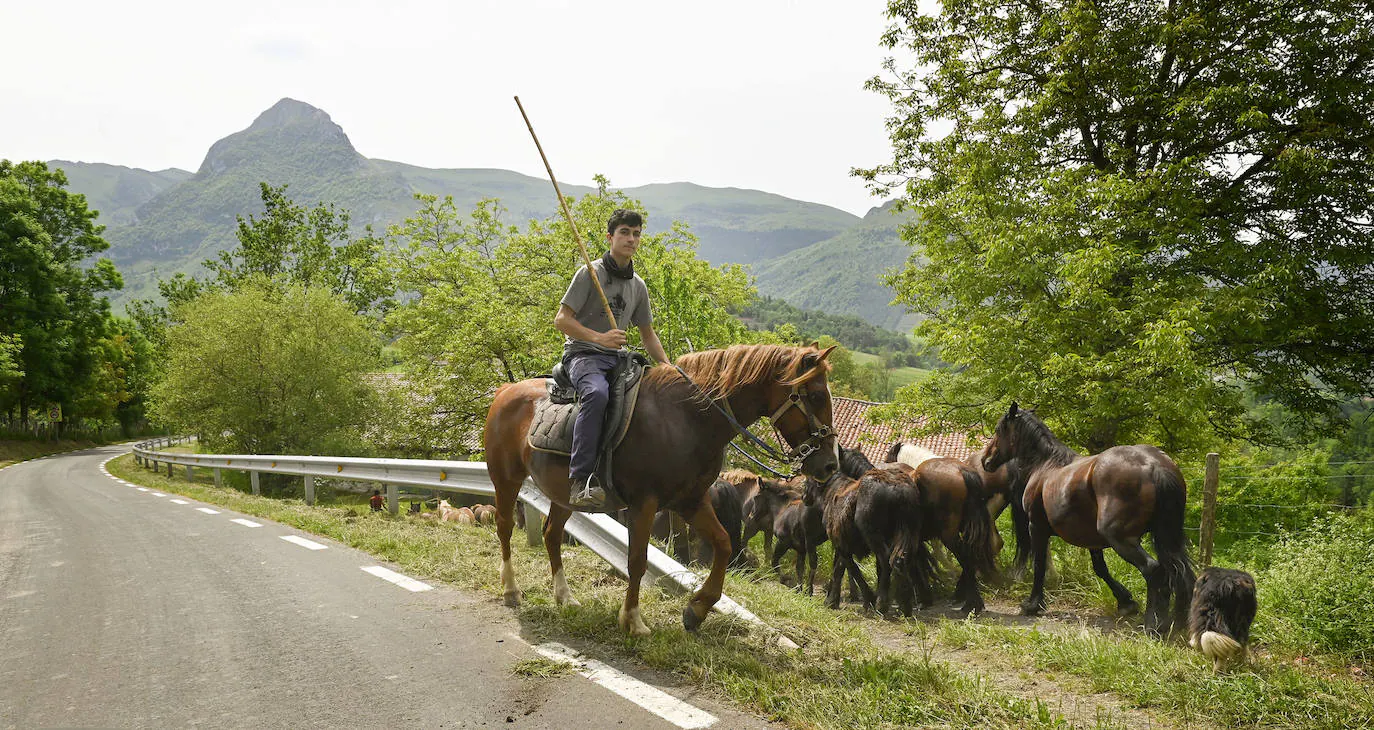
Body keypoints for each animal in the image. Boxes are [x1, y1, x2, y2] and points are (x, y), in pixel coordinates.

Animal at [489, 345, 840, 637]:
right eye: (817, 396)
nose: (829, 465)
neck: (687, 420)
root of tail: (505, 391)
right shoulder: (644, 504)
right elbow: (637, 560)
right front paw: (632, 619)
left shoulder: (691, 502)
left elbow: (724, 544)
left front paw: (697, 609)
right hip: (505, 479)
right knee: (504, 528)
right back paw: (511, 590)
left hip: (563, 494)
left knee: (551, 534)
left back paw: (565, 597)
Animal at [983, 404, 1198, 637]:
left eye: (999, 430)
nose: (985, 460)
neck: (1046, 465)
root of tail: (1153, 466)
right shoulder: (1092, 539)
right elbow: (1100, 569)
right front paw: (1126, 602)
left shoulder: (1037, 527)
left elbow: (1039, 564)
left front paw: (1032, 605)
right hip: (1166, 538)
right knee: (1180, 573)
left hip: (1120, 539)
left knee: (1154, 570)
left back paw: (1153, 624)